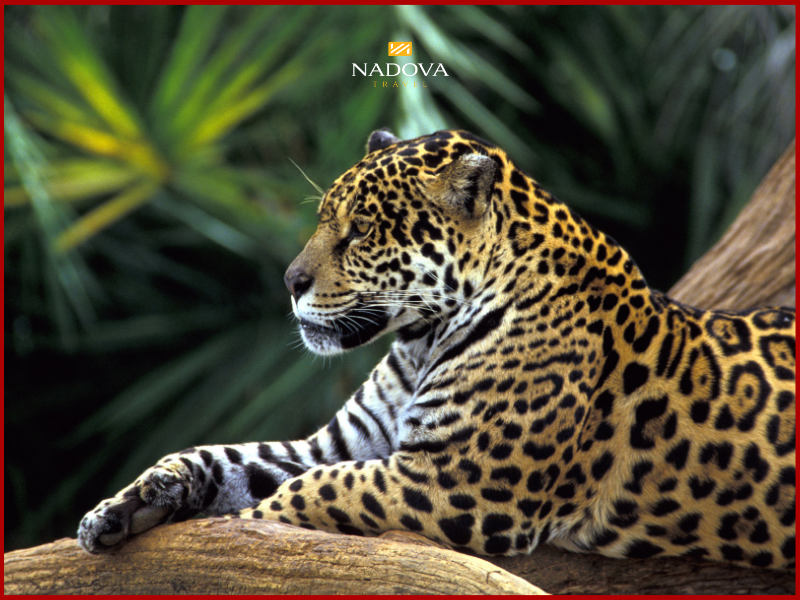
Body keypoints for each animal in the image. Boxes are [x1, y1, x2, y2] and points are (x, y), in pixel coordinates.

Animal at [79, 129, 795, 569]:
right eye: (323, 219)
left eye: (360, 232)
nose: (289, 282)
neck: (422, 338)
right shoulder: (342, 443)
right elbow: (223, 458)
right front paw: (123, 507)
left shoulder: (459, 483)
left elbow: (313, 492)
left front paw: (249, 524)